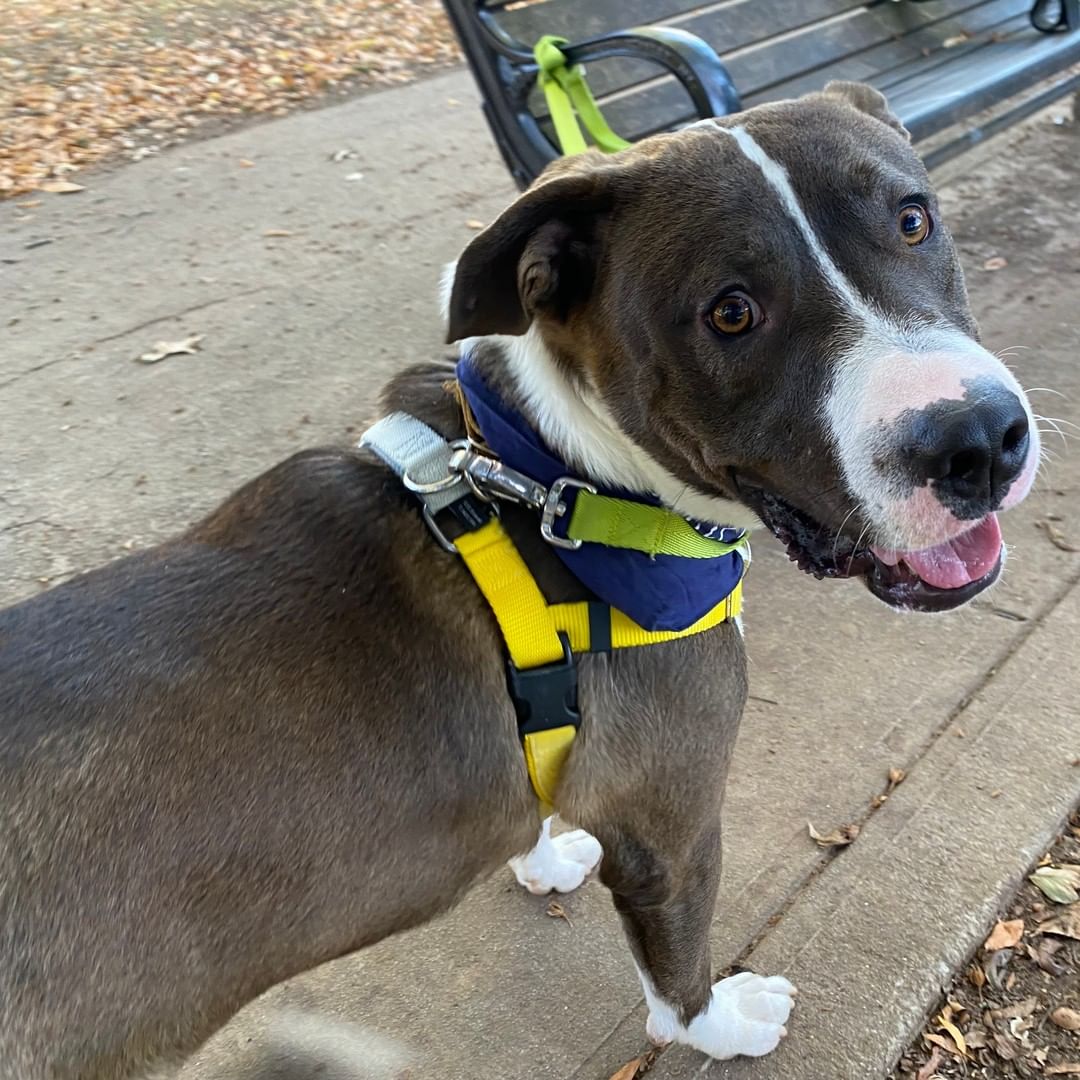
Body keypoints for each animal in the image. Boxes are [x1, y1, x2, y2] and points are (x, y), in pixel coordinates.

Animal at [4, 84, 1041, 1080]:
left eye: (913, 219)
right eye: (731, 310)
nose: (978, 441)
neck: (555, 476)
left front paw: (539, 854)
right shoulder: (670, 828)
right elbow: (677, 971)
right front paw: (722, 1026)